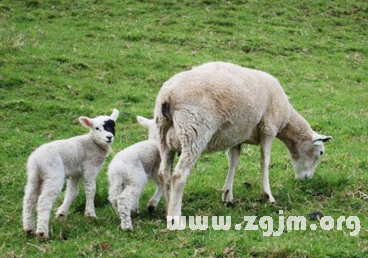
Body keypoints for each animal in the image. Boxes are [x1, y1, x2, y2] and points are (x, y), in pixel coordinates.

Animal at [22, 109, 119, 240]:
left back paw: (28, 228)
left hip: (34, 176)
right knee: (43, 201)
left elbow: (72, 193)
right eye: (97, 128)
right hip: (53, 174)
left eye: (113, 126)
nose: (109, 137)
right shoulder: (90, 168)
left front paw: (62, 214)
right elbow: (91, 190)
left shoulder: (75, 173)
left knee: (29, 199)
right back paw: (42, 232)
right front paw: (90, 214)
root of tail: (36, 160)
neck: (93, 142)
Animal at [154, 61, 332, 219]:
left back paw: (168, 208)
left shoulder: (237, 136)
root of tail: (168, 96)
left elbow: (234, 161)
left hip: (162, 134)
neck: (286, 119)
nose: (307, 179)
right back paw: (175, 217)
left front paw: (227, 195)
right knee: (179, 175)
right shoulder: (268, 128)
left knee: (164, 173)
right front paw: (268, 196)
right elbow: (264, 161)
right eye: (321, 152)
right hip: (194, 131)